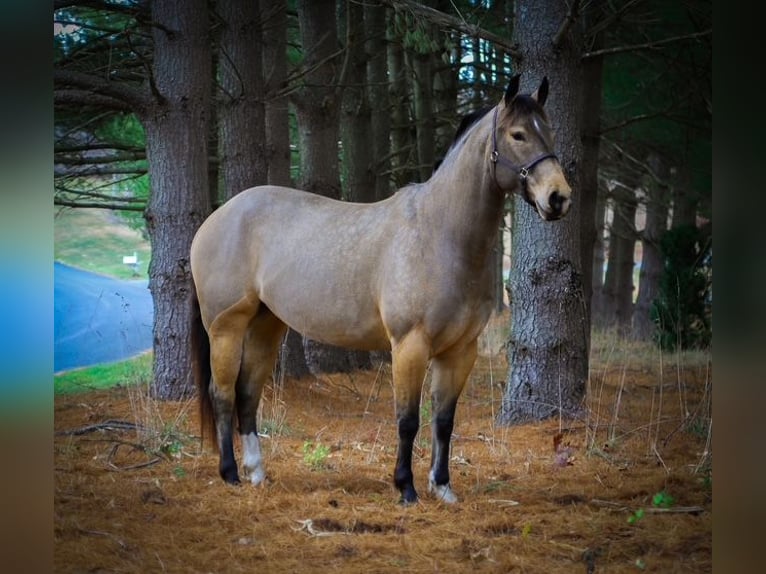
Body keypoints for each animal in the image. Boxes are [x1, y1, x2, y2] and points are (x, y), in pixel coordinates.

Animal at [190, 75, 576, 504]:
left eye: (549, 131)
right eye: (518, 134)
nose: (559, 197)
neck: (439, 234)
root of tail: (218, 217)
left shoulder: (460, 351)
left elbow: (444, 420)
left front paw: (442, 487)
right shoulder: (410, 345)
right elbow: (407, 420)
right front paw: (406, 487)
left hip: (266, 324)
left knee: (247, 392)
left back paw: (256, 471)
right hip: (226, 326)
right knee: (222, 392)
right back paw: (229, 473)